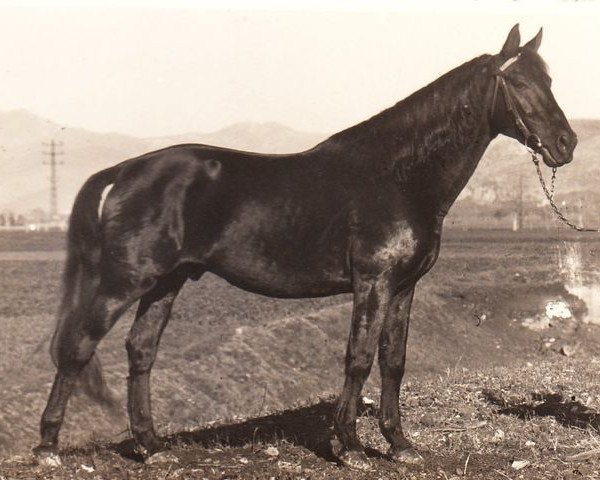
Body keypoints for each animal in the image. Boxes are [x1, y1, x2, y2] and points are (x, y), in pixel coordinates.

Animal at [34, 23, 576, 468]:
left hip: (166, 281)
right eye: (519, 83)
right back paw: (48, 448)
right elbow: (358, 358)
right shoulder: (373, 282)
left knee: (141, 350)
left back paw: (151, 446)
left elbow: (393, 361)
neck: (398, 176)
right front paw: (351, 447)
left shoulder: (404, 287)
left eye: (550, 81)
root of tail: (127, 168)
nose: (566, 144)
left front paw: (400, 445)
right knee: (79, 346)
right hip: (124, 280)